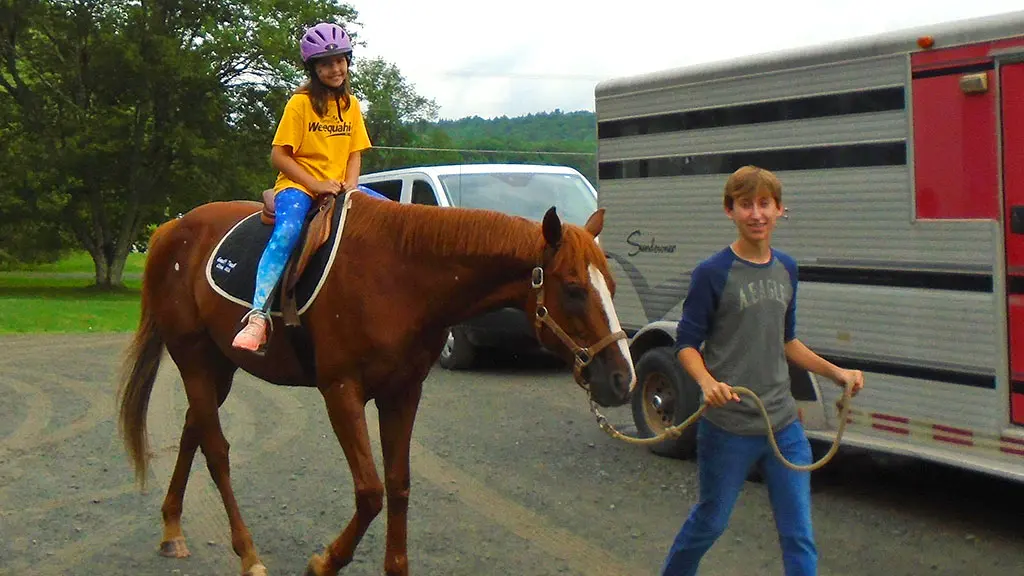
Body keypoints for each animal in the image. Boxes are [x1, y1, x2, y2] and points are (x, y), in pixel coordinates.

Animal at [116, 189, 634, 573]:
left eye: (611, 286)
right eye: (573, 289)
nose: (621, 378)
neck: (401, 277)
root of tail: (170, 230)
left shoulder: (403, 393)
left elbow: (398, 484)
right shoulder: (342, 391)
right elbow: (370, 491)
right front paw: (325, 561)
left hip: (218, 365)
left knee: (192, 432)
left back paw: (172, 530)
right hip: (193, 358)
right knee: (216, 450)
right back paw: (247, 553)